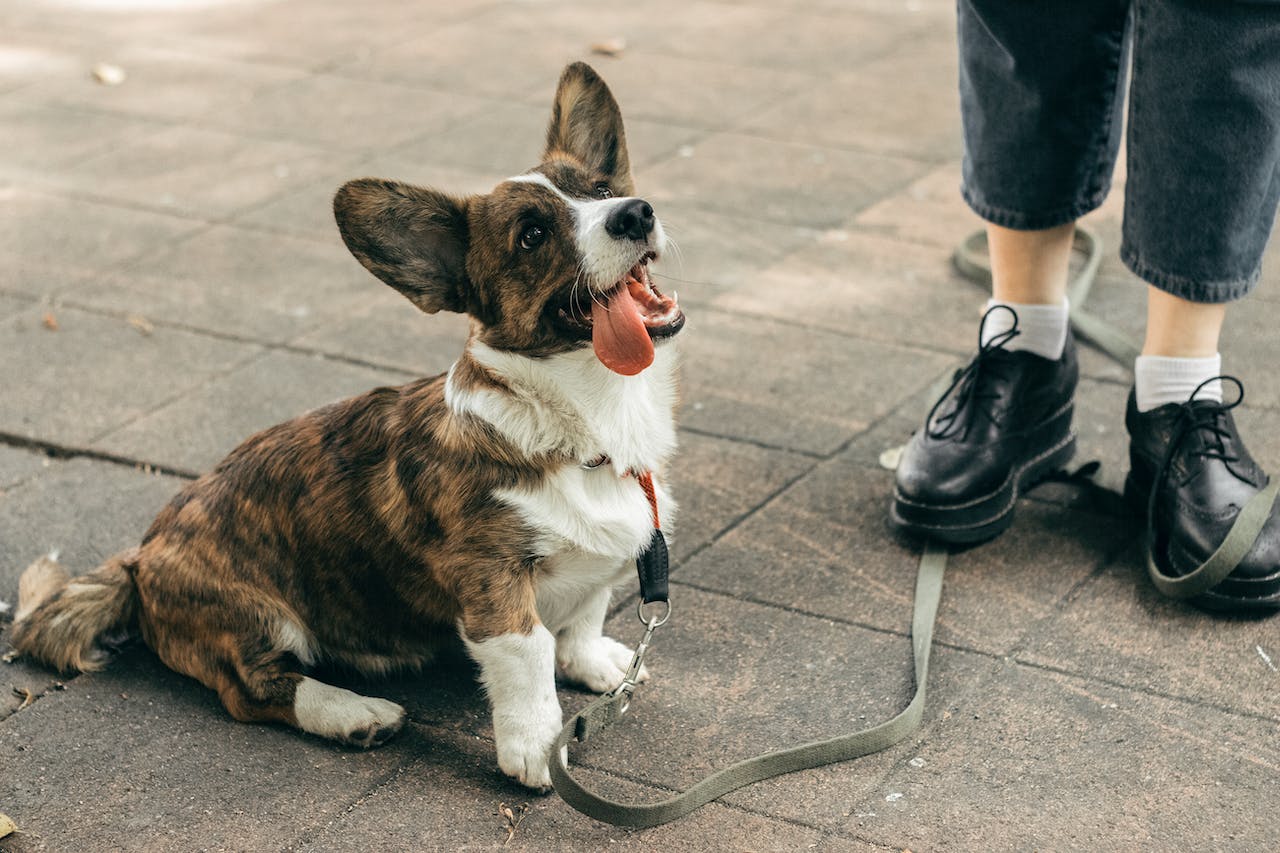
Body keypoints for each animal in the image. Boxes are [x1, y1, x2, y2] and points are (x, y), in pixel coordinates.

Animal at [10, 63, 686, 788]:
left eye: (603, 191)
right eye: (532, 235)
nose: (636, 212)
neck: (587, 421)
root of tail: (139, 559)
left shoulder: (599, 565)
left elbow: (584, 613)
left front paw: (596, 665)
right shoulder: (493, 580)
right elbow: (528, 652)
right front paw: (534, 746)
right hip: (258, 615)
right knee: (252, 689)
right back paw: (354, 713)